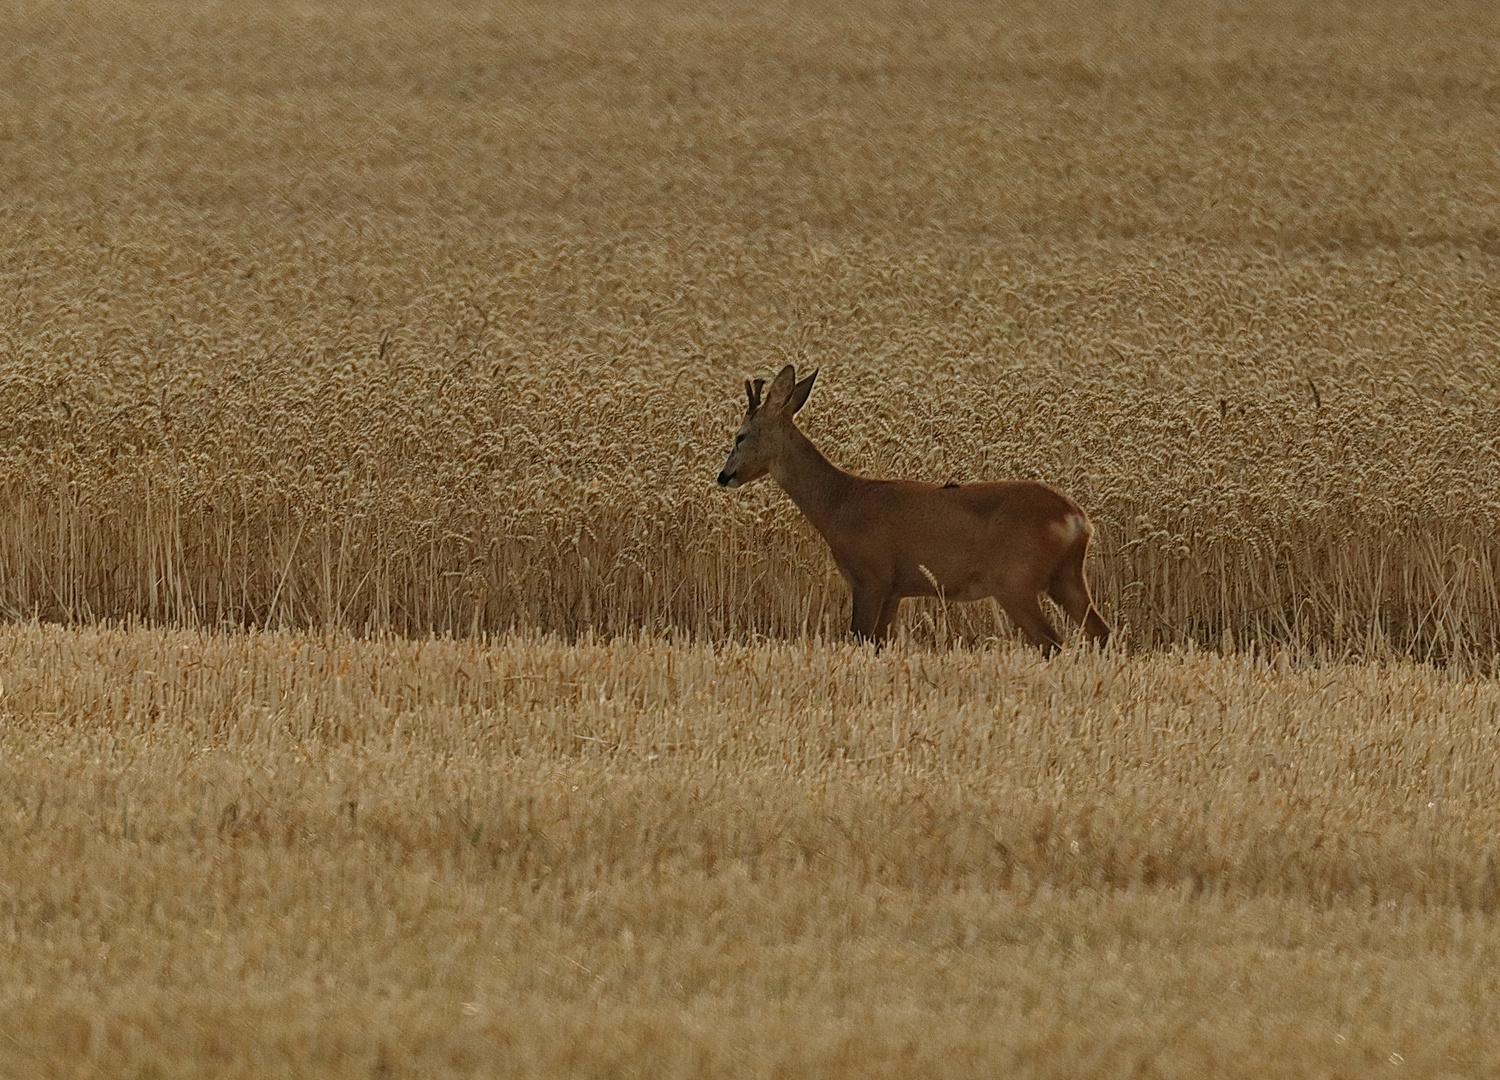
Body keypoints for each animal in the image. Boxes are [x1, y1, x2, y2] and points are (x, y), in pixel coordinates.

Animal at [714, 367, 1116, 651]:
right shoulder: (895, 589)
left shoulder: (871, 576)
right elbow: (877, 645)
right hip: (1066, 576)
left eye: (740, 435)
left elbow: (858, 639)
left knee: (1054, 643)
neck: (840, 504)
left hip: (1014, 580)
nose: (724, 476)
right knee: (1102, 633)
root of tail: (1078, 520)